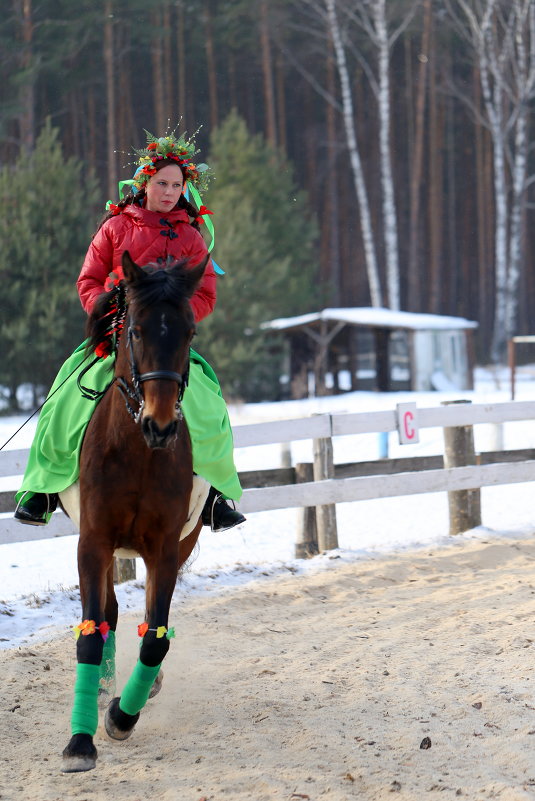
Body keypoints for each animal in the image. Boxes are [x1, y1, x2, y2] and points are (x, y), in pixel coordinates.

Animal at [61, 253, 207, 772]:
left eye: (189, 331)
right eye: (138, 331)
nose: (160, 425)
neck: (138, 453)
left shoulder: (165, 547)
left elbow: (157, 636)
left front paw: (122, 716)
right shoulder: (93, 540)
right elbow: (91, 629)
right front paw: (80, 742)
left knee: (146, 619)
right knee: (106, 613)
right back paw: (103, 684)